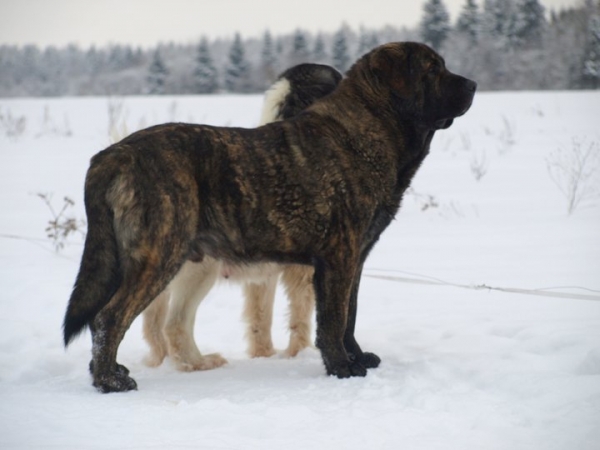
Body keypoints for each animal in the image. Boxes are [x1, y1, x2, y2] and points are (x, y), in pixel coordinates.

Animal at [61, 43, 474, 394]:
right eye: (432, 68)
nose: (472, 84)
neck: (369, 128)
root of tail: (112, 154)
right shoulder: (338, 257)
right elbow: (333, 320)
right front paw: (342, 368)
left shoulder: (355, 258)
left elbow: (350, 316)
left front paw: (357, 358)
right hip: (160, 255)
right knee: (109, 318)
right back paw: (110, 381)